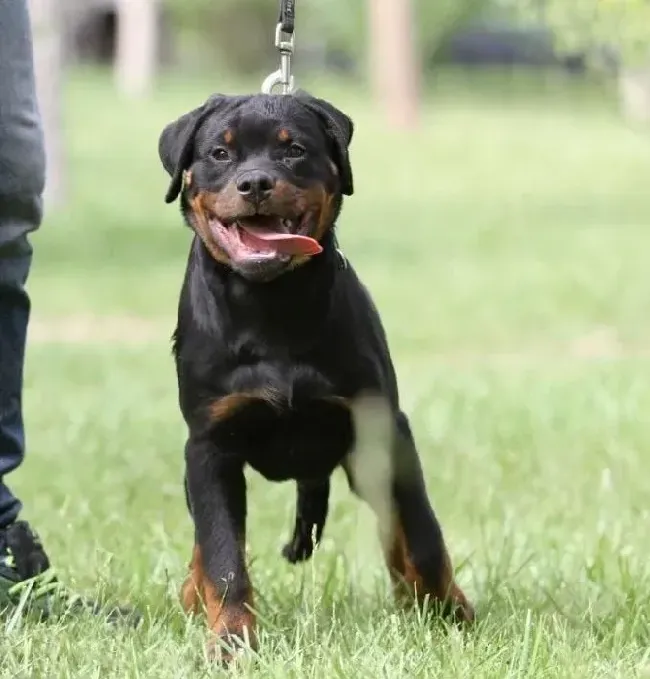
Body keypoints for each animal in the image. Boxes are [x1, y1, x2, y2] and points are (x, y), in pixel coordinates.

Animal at [157, 91, 470, 660]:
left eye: (294, 149)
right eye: (219, 153)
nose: (255, 183)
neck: (271, 304)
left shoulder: (384, 428)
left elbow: (423, 535)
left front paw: (450, 614)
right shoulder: (210, 445)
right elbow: (222, 553)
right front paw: (232, 639)